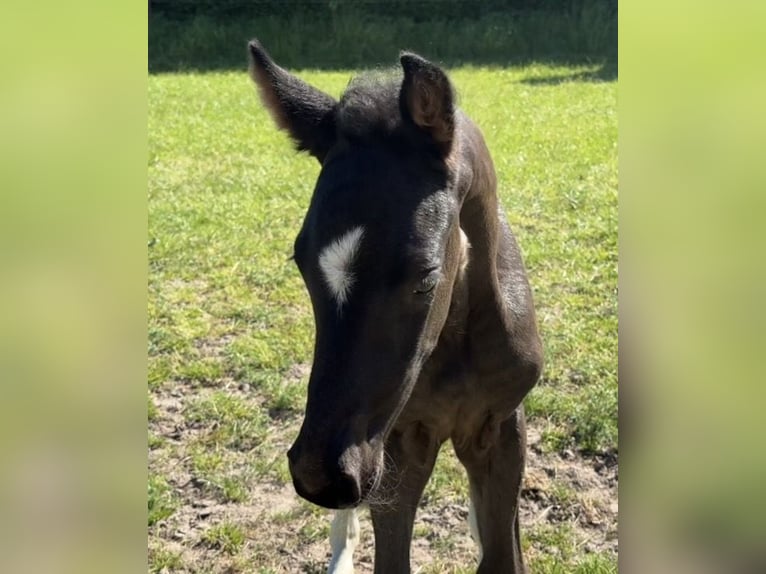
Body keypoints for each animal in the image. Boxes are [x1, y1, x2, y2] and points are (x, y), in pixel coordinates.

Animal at [247, 39, 543, 574]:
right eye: (300, 261)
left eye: (426, 275)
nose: (321, 477)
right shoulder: (399, 443)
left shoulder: (501, 426)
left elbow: (502, 554)